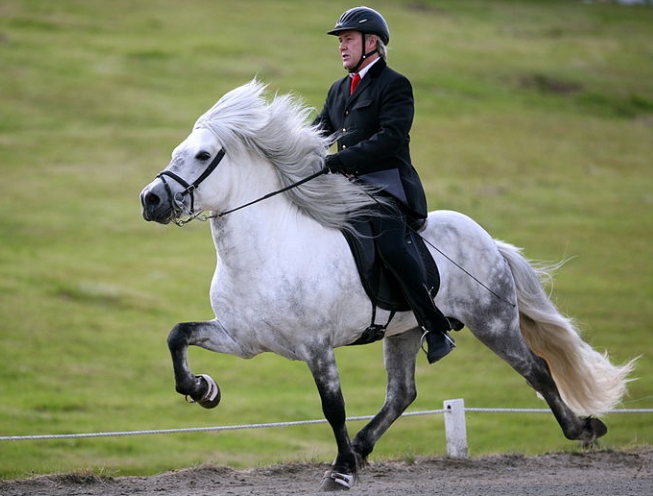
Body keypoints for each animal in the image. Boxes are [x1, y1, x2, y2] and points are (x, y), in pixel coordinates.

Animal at [140, 79, 636, 490]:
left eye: (203, 155)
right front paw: (203, 390)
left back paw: (583, 429)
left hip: (492, 322)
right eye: (179, 149)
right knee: (402, 393)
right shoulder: (242, 340)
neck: (266, 251)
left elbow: (333, 407)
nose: (151, 200)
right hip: (408, 330)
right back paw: (362, 446)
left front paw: (340, 472)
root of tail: (488, 240)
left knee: (536, 368)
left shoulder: (316, 347)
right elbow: (177, 335)